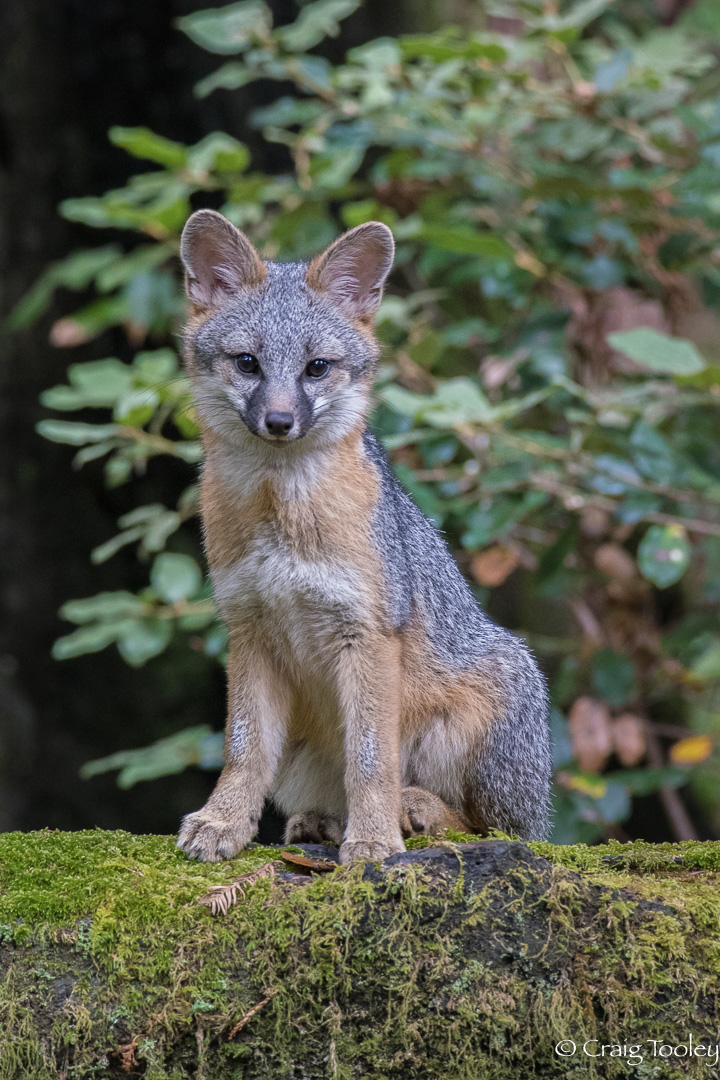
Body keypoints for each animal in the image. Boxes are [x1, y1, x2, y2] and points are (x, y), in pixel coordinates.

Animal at [174, 210, 552, 864]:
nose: (279, 421)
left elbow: (371, 758)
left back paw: (414, 811)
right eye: (248, 363)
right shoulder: (248, 631)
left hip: (498, 697)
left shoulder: (368, 634)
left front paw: (374, 839)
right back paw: (323, 823)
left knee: (494, 828)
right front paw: (224, 821)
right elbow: (243, 751)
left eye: (316, 368)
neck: (283, 519)